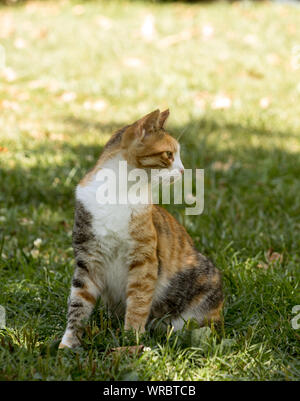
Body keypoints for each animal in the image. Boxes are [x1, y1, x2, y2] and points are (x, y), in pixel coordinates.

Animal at [59, 108, 223, 346]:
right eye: (168, 154)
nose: (183, 170)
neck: (117, 193)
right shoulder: (88, 259)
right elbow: (78, 305)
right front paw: (68, 344)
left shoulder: (144, 259)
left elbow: (138, 301)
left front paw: (132, 338)